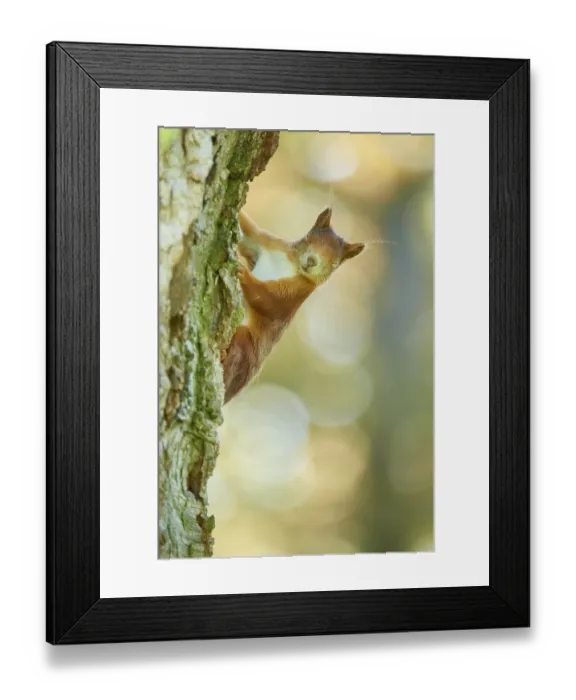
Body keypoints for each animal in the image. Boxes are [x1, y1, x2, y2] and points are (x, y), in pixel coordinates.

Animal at [221, 206, 365, 404]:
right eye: (308, 239)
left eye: (335, 263)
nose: (311, 261)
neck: (292, 263)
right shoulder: (267, 242)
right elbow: (248, 232)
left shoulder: (295, 293)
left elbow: (268, 300)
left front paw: (243, 273)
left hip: (245, 348)